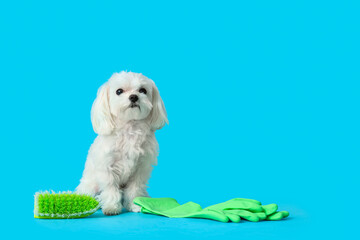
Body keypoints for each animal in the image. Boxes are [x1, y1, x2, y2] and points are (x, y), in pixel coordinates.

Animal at [76, 71, 169, 216]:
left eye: (143, 90)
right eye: (119, 91)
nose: (134, 97)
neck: (129, 128)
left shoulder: (141, 169)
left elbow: (134, 189)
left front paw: (134, 205)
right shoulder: (107, 167)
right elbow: (110, 188)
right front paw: (111, 207)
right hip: (90, 186)